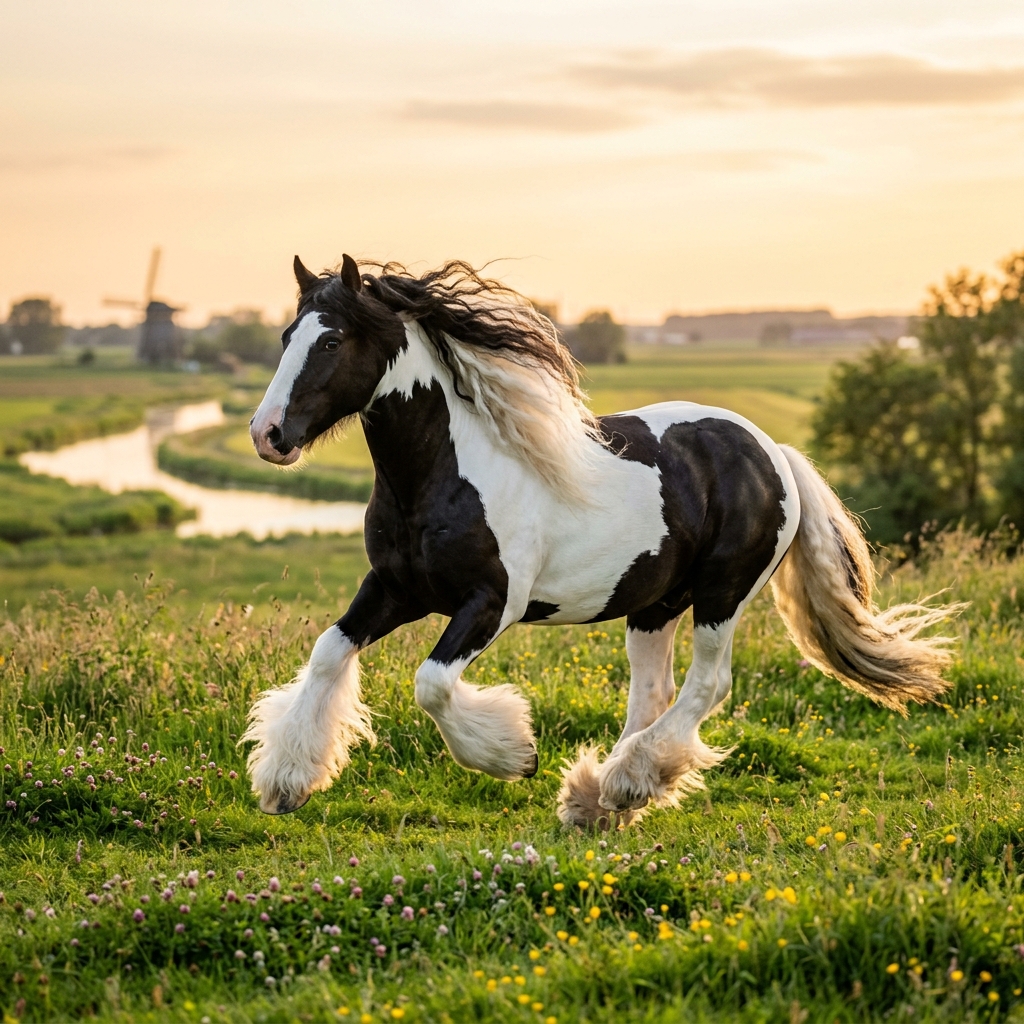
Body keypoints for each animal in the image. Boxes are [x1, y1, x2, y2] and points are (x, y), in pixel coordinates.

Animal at [242, 254, 955, 828]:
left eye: (332, 340)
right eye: (285, 336)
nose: (268, 434)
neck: (441, 475)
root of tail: (769, 449)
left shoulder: (491, 603)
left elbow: (433, 684)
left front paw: (516, 756)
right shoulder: (394, 589)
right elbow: (328, 653)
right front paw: (285, 783)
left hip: (722, 593)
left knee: (708, 686)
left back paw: (626, 783)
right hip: (654, 605)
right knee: (654, 694)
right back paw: (598, 798)